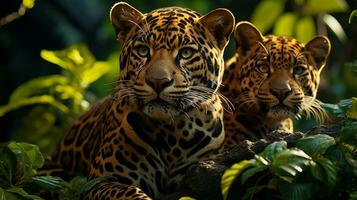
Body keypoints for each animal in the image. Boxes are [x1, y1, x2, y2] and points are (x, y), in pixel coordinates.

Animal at [39, 1, 235, 200]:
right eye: (142, 51)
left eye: (186, 53)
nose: (158, 81)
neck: (173, 134)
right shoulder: (100, 181)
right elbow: (130, 192)